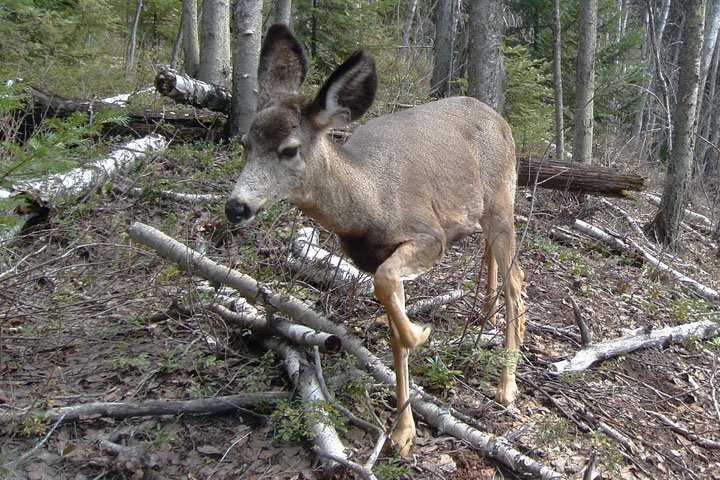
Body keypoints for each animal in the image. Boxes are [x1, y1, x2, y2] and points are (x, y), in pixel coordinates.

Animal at [226, 24, 528, 456]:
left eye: (289, 150)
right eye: (245, 144)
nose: (236, 206)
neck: (367, 203)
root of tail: (501, 119)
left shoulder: (429, 234)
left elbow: (389, 293)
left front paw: (421, 332)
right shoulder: (376, 258)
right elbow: (393, 332)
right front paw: (403, 431)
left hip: (503, 199)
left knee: (516, 280)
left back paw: (506, 385)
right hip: (482, 213)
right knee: (493, 263)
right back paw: (484, 315)